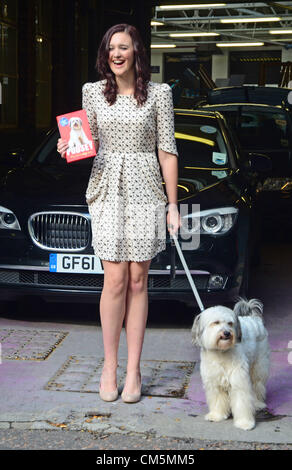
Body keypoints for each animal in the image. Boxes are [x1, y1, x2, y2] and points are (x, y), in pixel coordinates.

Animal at [192, 300, 270, 432]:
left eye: (230, 323)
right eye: (216, 322)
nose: (227, 333)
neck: (221, 352)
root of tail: (253, 317)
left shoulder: (239, 381)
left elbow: (241, 402)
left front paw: (245, 423)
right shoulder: (214, 382)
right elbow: (217, 399)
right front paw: (216, 415)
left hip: (258, 366)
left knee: (257, 385)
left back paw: (258, 403)